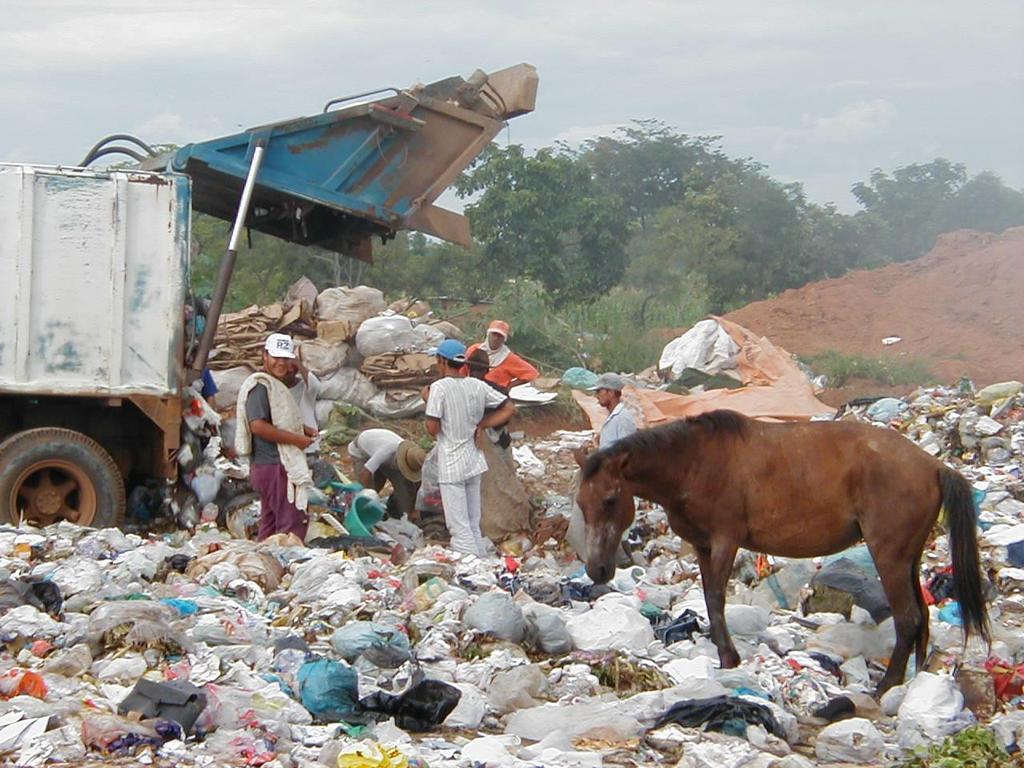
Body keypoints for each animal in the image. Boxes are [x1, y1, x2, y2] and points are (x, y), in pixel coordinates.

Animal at [573, 411, 987, 696]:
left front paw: (730, 658)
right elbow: (709, 599)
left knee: (908, 619)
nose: (597, 569)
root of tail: (933, 465)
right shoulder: (704, 547)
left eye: (610, 500)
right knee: (921, 618)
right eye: (581, 502)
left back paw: (887, 685)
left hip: (890, 558)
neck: (694, 463)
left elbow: (716, 599)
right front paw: (725, 658)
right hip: (908, 560)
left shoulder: (724, 540)